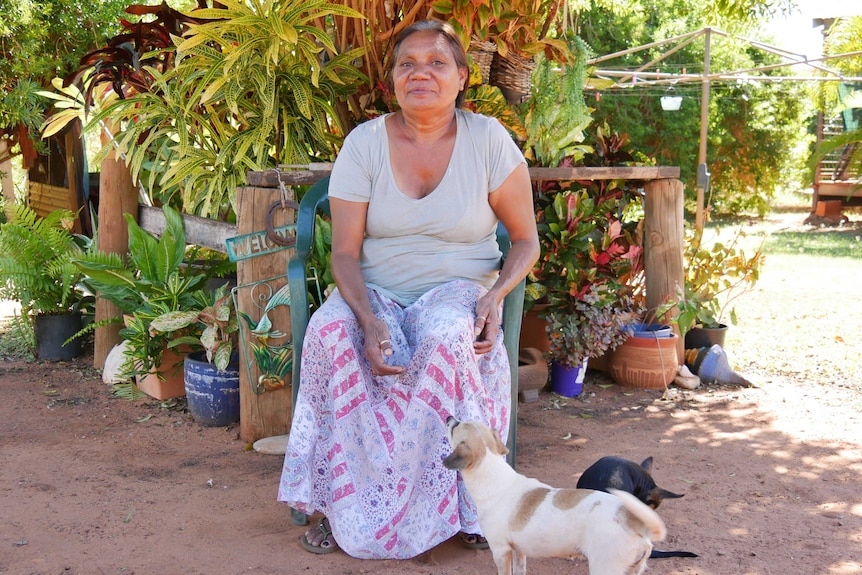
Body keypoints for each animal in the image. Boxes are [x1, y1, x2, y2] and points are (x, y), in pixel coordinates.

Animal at [446, 418, 668, 575]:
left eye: (455, 426)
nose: (448, 417)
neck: (495, 478)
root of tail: (632, 519)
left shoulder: (500, 551)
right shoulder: (518, 551)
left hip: (605, 568)